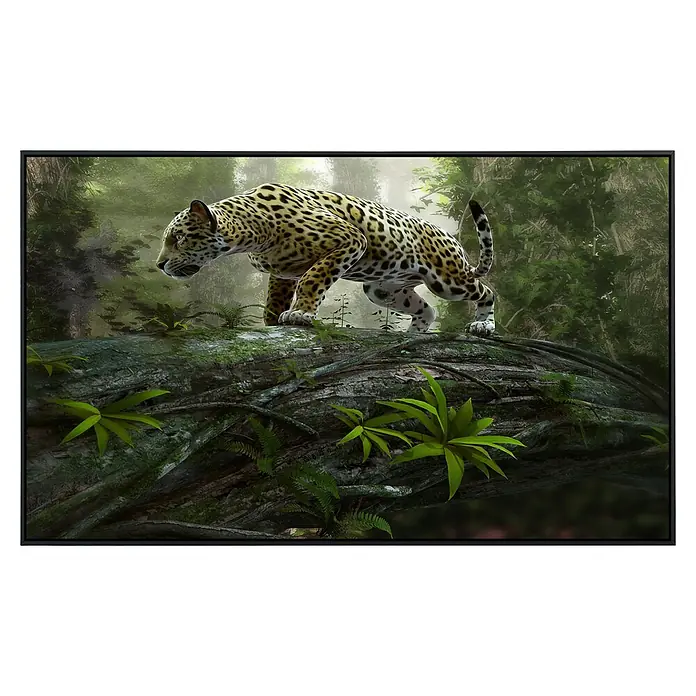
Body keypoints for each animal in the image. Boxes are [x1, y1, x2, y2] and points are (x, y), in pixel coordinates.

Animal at [156, 183, 496, 335]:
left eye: (178, 238)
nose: (159, 265)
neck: (252, 230)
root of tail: (449, 236)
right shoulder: (282, 272)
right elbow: (274, 298)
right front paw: (271, 322)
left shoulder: (349, 240)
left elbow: (312, 279)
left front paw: (300, 314)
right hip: (382, 289)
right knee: (427, 309)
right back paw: (413, 333)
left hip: (447, 279)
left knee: (487, 291)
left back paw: (483, 324)